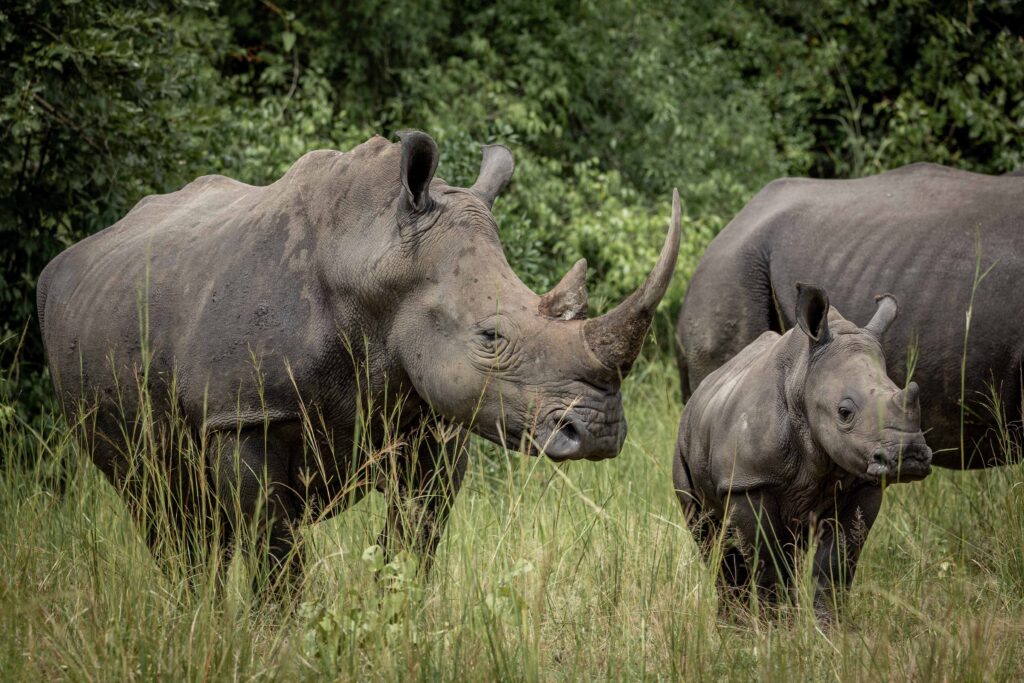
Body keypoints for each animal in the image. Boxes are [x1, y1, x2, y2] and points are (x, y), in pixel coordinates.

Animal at [38, 132, 681, 590]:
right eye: (491, 336)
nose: (599, 432)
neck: (375, 261)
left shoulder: (435, 426)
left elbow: (413, 543)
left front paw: (395, 626)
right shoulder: (242, 416)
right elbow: (276, 554)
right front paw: (279, 644)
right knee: (161, 507)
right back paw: (196, 615)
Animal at [674, 284, 932, 621]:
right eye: (844, 412)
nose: (910, 455)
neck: (802, 380)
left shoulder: (865, 483)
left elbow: (838, 561)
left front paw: (828, 626)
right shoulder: (749, 481)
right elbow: (766, 562)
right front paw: (775, 627)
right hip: (684, 445)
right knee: (711, 539)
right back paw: (733, 623)